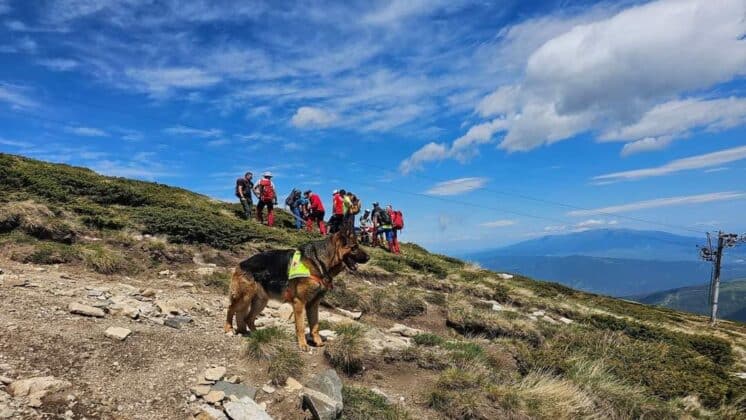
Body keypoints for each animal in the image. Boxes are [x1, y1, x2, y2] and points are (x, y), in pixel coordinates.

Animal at [224, 226, 370, 352]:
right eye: (354, 247)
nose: (369, 257)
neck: (319, 262)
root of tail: (242, 263)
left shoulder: (313, 304)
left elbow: (315, 326)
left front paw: (317, 342)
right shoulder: (300, 302)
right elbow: (300, 326)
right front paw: (303, 345)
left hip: (260, 302)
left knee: (248, 318)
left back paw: (255, 334)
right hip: (244, 298)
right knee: (231, 309)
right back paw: (228, 328)